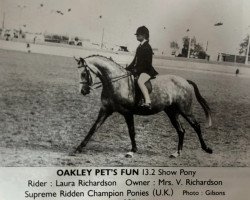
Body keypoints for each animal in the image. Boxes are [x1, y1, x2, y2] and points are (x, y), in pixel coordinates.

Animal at [73, 54, 213, 158]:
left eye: (84, 73)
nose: (83, 91)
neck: (116, 82)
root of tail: (185, 81)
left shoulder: (127, 112)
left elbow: (131, 131)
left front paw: (133, 150)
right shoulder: (105, 110)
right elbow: (93, 128)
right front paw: (79, 147)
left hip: (185, 110)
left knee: (196, 126)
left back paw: (206, 148)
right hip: (172, 112)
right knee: (181, 130)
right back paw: (177, 153)